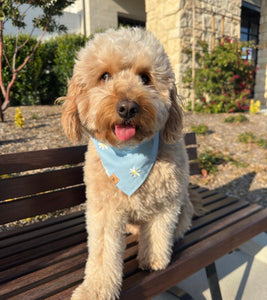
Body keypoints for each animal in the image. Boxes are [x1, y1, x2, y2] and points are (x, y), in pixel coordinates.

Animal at [60, 27, 195, 300]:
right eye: (105, 76)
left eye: (145, 77)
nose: (127, 107)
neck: (130, 156)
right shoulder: (104, 210)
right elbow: (103, 253)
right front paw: (96, 289)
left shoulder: (166, 203)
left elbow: (157, 234)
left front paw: (153, 260)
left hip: (184, 205)